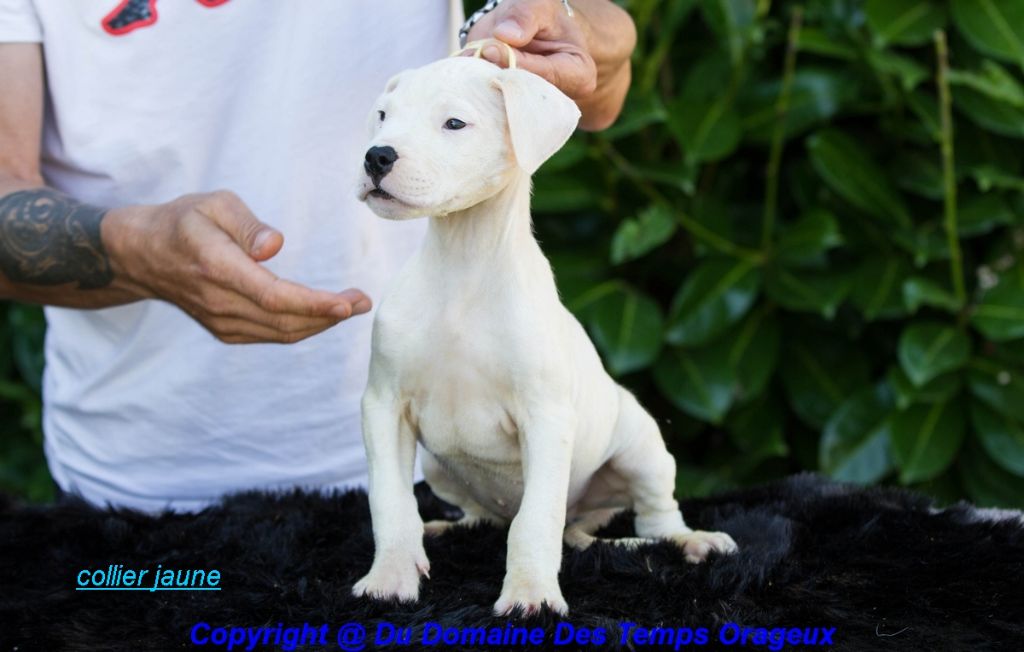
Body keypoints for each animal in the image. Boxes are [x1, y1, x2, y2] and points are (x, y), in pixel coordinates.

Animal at [352, 54, 737, 616]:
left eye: (454, 123)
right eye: (382, 116)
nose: (376, 156)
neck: (462, 265)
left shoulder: (545, 417)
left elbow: (535, 521)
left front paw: (530, 595)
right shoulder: (385, 406)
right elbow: (390, 500)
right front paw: (391, 576)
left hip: (643, 447)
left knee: (654, 517)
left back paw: (692, 541)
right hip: (439, 467)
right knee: (487, 516)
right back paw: (448, 526)